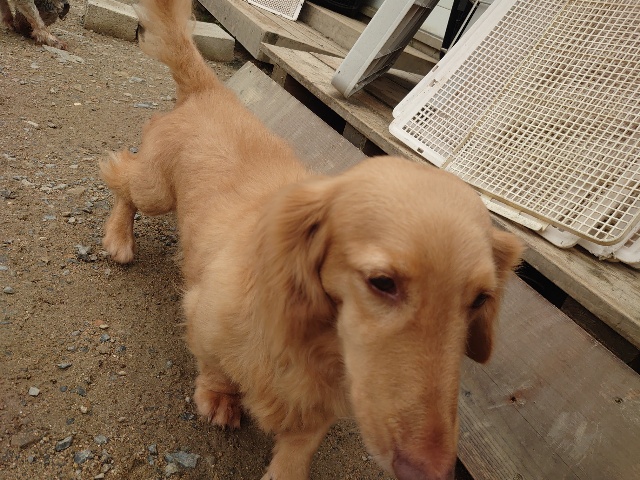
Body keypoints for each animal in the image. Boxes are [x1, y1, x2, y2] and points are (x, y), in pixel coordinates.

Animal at [100, 0, 523, 478]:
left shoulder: (324, 404)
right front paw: (219, 398)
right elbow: (214, 366)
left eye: (480, 300)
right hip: (155, 189)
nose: (428, 470)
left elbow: (300, 444)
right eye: (382, 282)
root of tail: (210, 89)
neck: (316, 341)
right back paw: (119, 237)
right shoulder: (202, 317)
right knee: (121, 174)